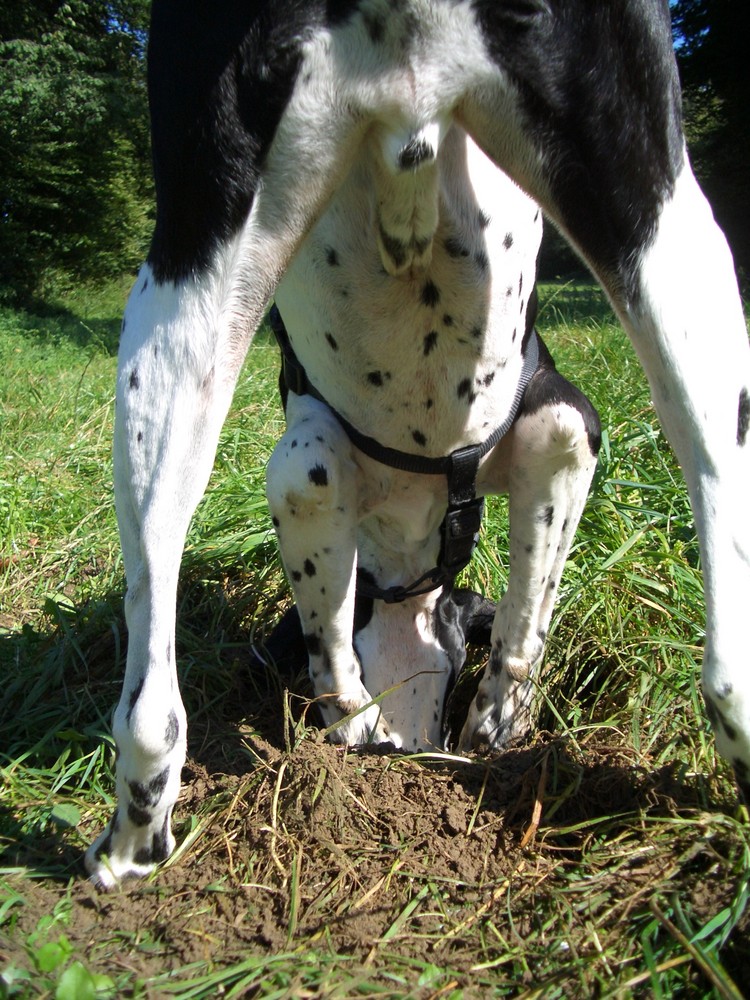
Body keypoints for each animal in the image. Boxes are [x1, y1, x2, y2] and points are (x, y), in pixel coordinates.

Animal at [85, 0, 750, 892]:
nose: (412, 747)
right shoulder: (344, 469)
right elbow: (383, 645)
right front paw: (431, 740)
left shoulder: (558, 432)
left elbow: (508, 629)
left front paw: (476, 737)